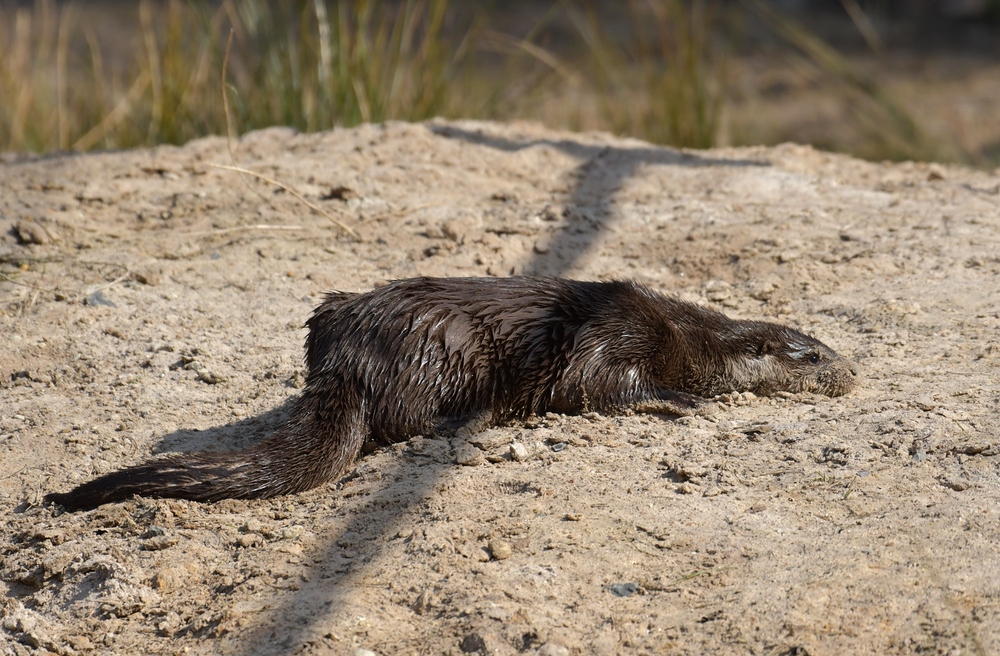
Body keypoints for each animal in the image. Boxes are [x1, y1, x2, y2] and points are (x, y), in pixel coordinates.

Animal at [47, 274, 856, 510]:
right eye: (814, 355)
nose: (852, 370)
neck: (689, 336)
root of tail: (343, 354)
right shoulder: (613, 335)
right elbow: (605, 385)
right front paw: (682, 401)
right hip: (444, 349)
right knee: (407, 423)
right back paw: (475, 419)